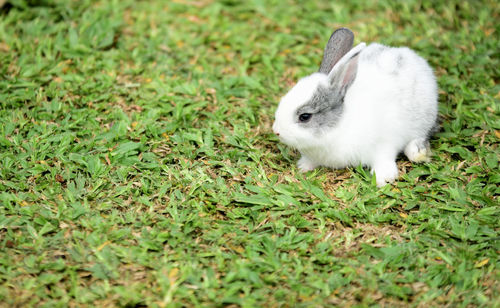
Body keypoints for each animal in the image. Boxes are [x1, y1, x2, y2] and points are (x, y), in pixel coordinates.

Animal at [274, 28, 438, 188]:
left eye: (305, 117)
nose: (276, 131)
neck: (340, 126)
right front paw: (304, 166)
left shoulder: (384, 145)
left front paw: (383, 179)